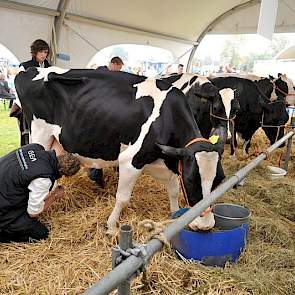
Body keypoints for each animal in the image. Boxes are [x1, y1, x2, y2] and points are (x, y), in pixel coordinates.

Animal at [15, 66, 225, 234]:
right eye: (191, 180)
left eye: (219, 180)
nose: (206, 225)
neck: (167, 117)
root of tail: (32, 69)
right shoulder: (131, 161)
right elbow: (123, 198)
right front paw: (111, 226)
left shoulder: (171, 160)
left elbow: (173, 191)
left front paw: (175, 214)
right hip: (40, 133)